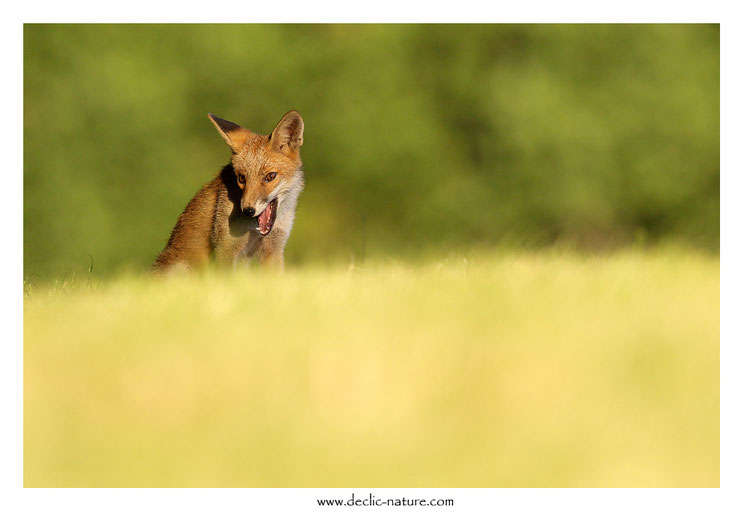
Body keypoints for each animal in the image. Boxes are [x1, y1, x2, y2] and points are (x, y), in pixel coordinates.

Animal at [151, 110, 306, 274]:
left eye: (270, 176)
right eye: (241, 178)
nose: (248, 211)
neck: (253, 228)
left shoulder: (274, 247)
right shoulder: (226, 248)